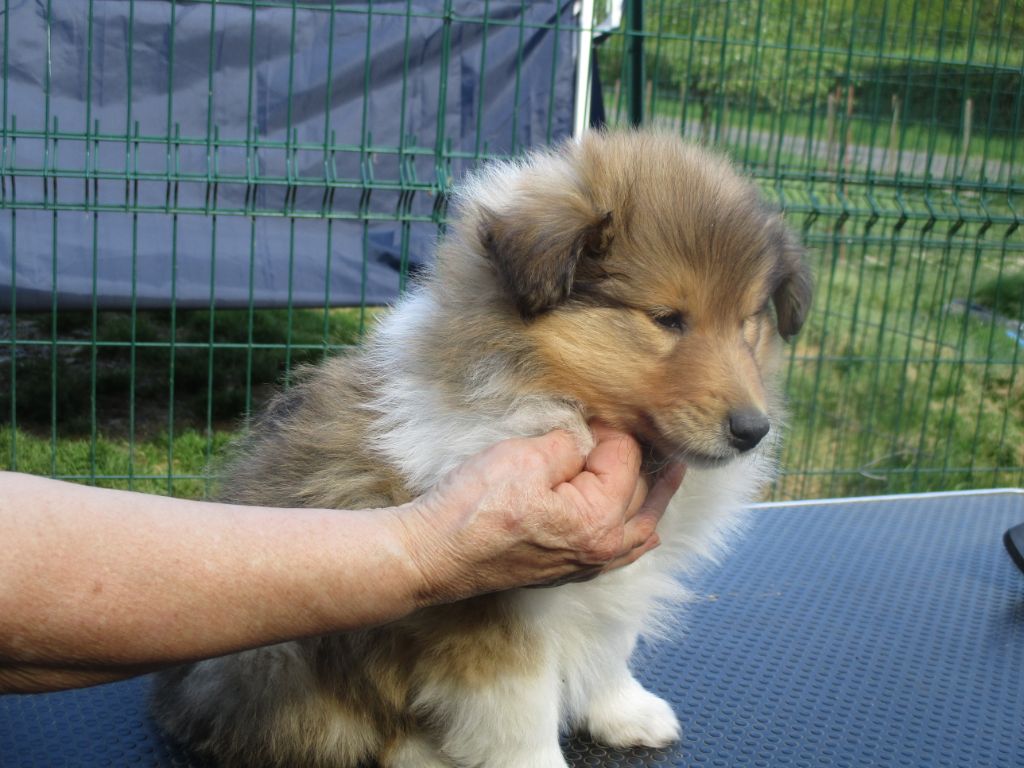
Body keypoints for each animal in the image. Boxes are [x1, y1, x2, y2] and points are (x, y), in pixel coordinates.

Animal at [151, 129, 812, 768]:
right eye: (666, 318)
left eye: (749, 321)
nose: (753, 430)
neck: (553, 394)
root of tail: (177, 694)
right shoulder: (490, 611)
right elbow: (519, 713)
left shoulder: (613, 574)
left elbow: (609, 643)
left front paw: (625, 713)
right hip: (281, 659)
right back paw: (422, 754)